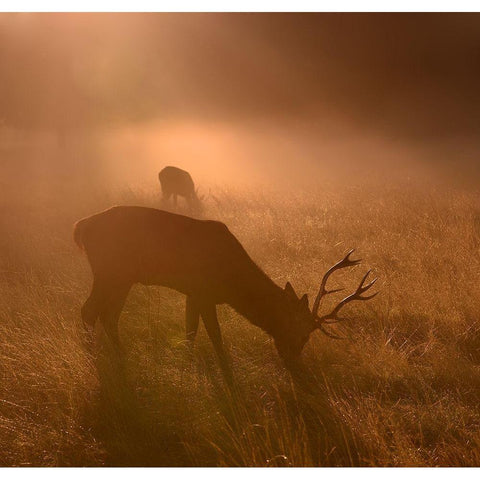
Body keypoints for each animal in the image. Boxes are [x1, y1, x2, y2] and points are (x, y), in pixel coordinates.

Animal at [73, 206, 376, 376]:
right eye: (302, 333)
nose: (295, 365)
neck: (231, 283)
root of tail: (80, 226)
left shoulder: (192, 293)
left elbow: (190, 331)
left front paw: (188, 364)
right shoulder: (203, 292)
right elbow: (215, 337)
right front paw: (226, 374)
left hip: (122, 277)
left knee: (107, 314)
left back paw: (119, 356)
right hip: (110, 271)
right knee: (89, 310)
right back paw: (95, 359)